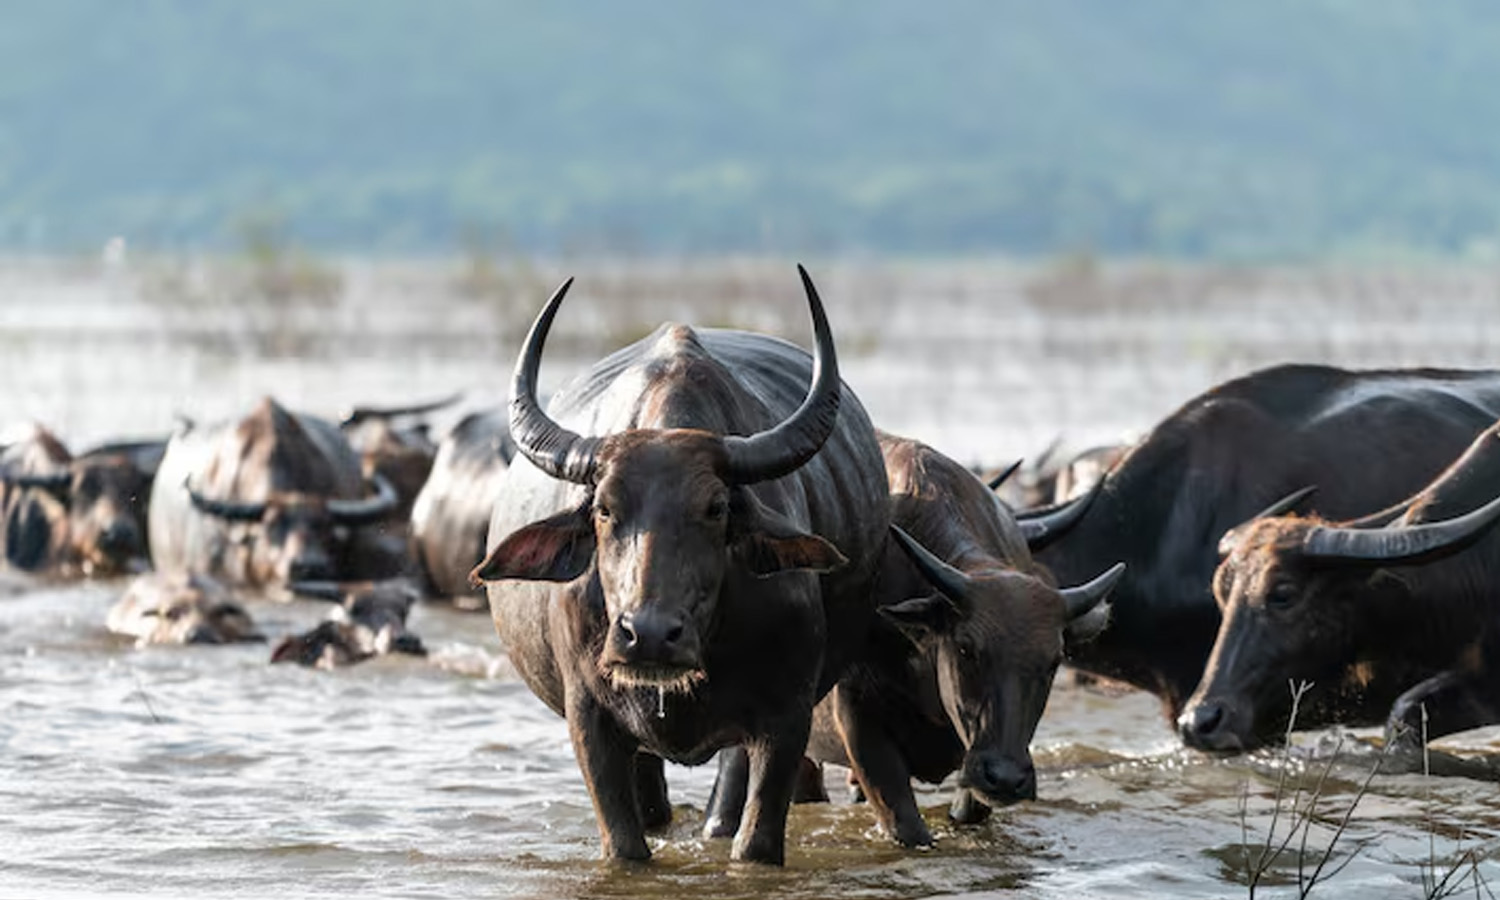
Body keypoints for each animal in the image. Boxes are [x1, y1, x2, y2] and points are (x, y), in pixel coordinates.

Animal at [471, 268, 889, 864]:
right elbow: (625, 844)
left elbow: (755, 841)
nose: (646, 635)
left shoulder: (786, 716)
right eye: (604, 508)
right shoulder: (589, 719)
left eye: (715, 508)